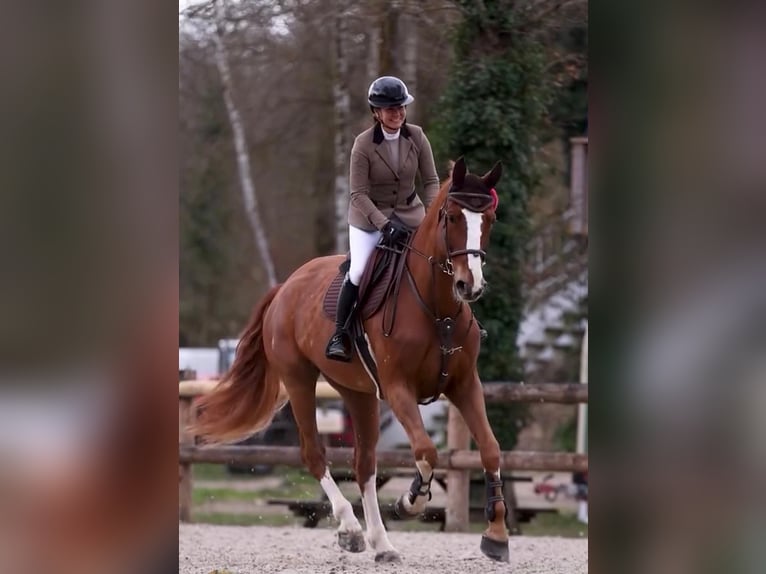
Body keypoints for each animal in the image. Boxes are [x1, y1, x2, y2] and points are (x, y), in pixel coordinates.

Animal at [192, 156, 510, 563]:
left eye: (490, 220)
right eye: (452, 217)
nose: (470, 286)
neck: (438, 309)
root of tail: (286, 286)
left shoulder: (465, 384)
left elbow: (490, 449)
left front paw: (497, 535)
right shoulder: (398, 388)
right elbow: (426, 449)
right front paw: (411, 501)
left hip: (357, 393)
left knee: (364, 465)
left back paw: (382, 543)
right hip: (299, 381)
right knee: (314, 454)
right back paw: (351, 529)